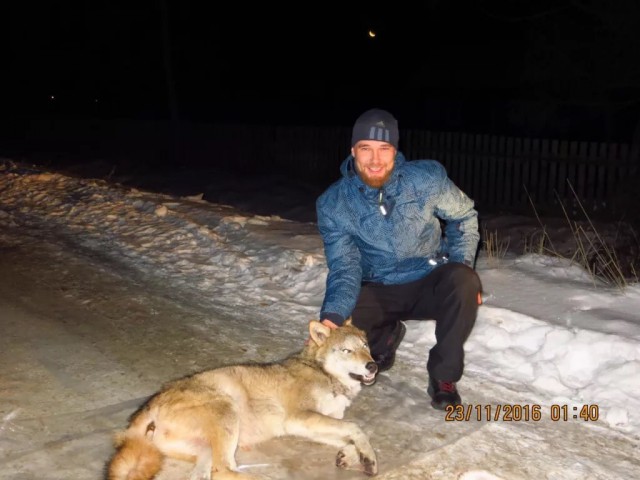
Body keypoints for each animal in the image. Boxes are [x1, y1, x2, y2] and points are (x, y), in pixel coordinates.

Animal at [107, 318, 378, 480]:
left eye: (365, 346)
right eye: (347, 351)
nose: (373, 366)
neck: (324, 373)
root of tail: (146, 408)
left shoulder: (311, 424)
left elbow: (349, 435)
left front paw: (353, 456)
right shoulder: (299, 418)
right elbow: (356, 428)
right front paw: (368, 457)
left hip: (206, 451)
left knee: (213, 473)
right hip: (227, 410)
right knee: (224, 470)